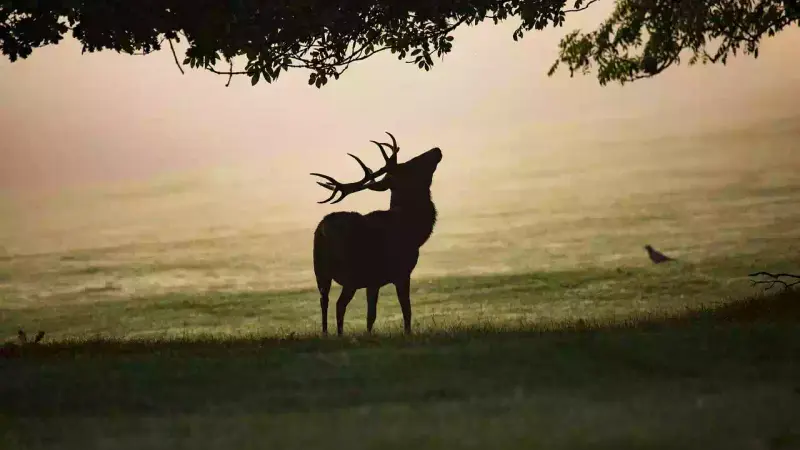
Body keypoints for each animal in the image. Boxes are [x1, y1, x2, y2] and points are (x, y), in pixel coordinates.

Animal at [310, 132, 442, 336]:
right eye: (411, 165)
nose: (436, 150)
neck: (414, 231)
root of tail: (323, 231)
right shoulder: (400, 272)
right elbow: (406, 310)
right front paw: (407, 333)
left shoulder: (373, 281)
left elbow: (370, 315)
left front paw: (369, 334)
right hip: (352, 272)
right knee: (339, 304)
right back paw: (339, 334)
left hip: (320, 270)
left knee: (324, 301)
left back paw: (326, 334)